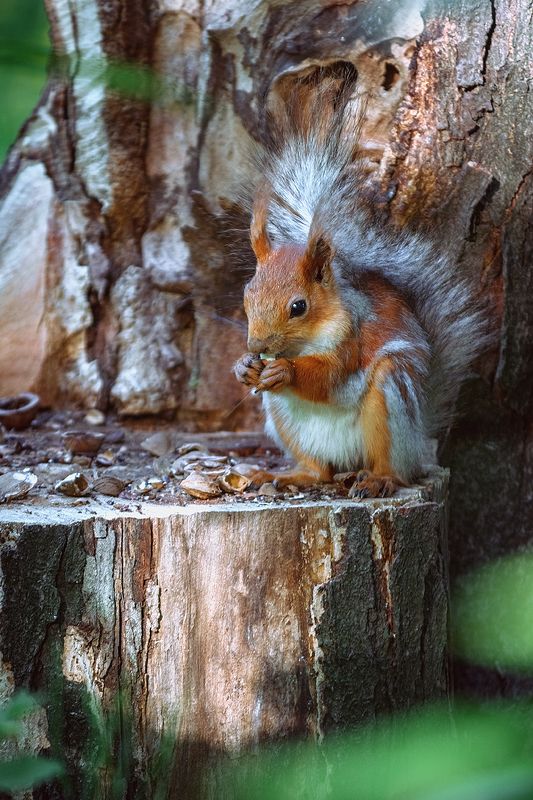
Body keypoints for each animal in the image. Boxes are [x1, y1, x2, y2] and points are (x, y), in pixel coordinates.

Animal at [233, 78, 487, 498]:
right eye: (247, 296)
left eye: (299, 306)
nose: (257, 345)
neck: (305, 341)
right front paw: (244, 366)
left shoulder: (352, 334)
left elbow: (329, 375)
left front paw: (284, 371)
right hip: (287, 422)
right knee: (320, 472)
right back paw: (288, 475)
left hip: (392, 395)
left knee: (393, 467)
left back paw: (380, 479)